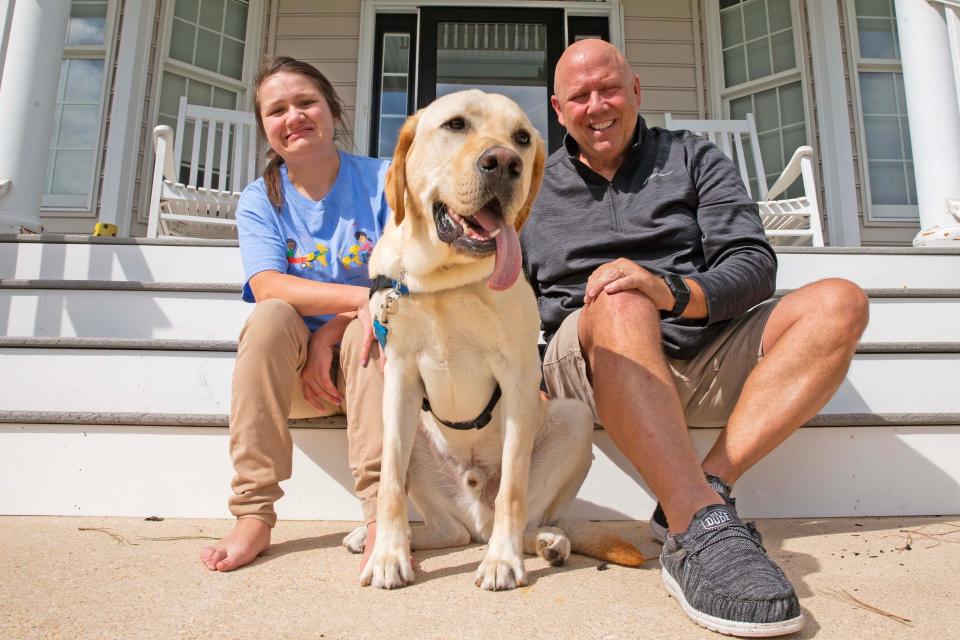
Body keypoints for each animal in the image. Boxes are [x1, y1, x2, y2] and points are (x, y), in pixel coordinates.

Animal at [348, 89, 640, 592]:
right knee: (448, 531)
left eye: (522, 138)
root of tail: (475, 516)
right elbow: (388, 485)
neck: (445, 280)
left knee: (523, 519)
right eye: (455, 125)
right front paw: (387, 556)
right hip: (412, 438)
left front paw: (502, 562)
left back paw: (545, 542)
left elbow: (513, 491)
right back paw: (386, 539)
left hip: (574, 418)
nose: (504, 163)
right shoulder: (400, 376)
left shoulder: (518, 377)